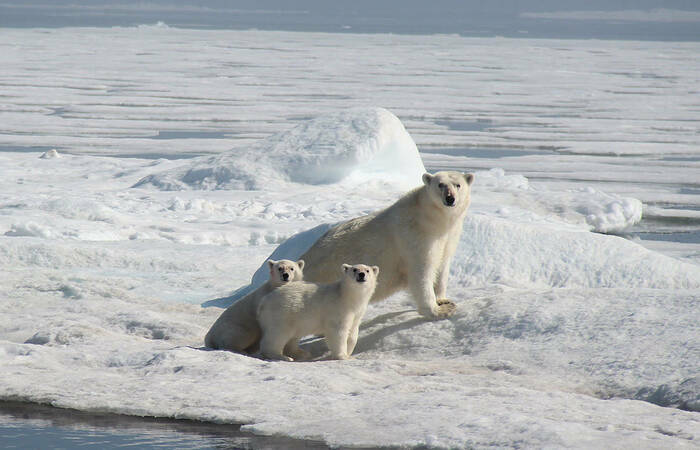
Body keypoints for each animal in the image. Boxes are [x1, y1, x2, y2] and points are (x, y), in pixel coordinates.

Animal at [302, 170, 476, 320]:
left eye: (458, 185)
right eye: (440, 184)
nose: (450, 198)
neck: (432, 220)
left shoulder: (447, 238)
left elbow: (442, 266)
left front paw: (443, 300)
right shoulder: (415, 238)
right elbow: (422, 271)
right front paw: (440, 310)